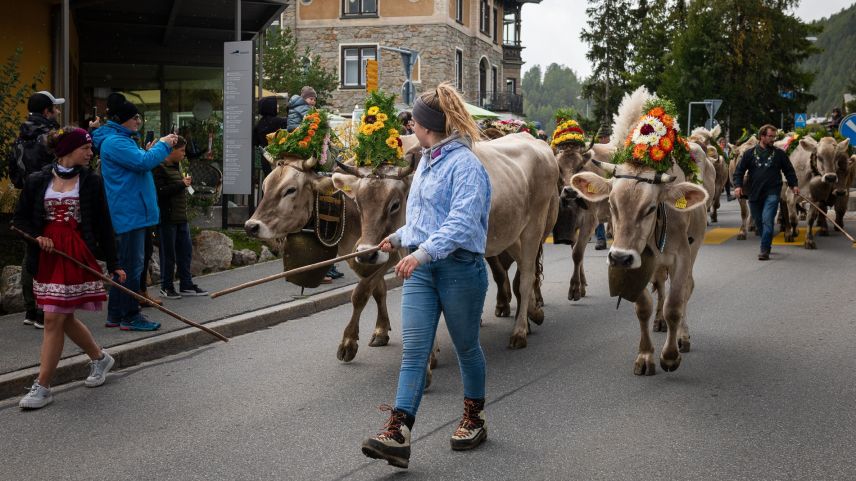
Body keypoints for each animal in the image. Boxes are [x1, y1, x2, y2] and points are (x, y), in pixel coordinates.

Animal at [568, 89, 716, 376]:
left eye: (650, 208)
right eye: (612, 204)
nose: (618, 257)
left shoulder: (681, 256)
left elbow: (675, 304)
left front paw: (670, 355)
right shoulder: (635, 260)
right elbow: (643, 306)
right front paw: (646, 356)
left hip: (695, 246)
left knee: (686, 290)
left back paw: (682, 336)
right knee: (659, 285)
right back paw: (659, 322)